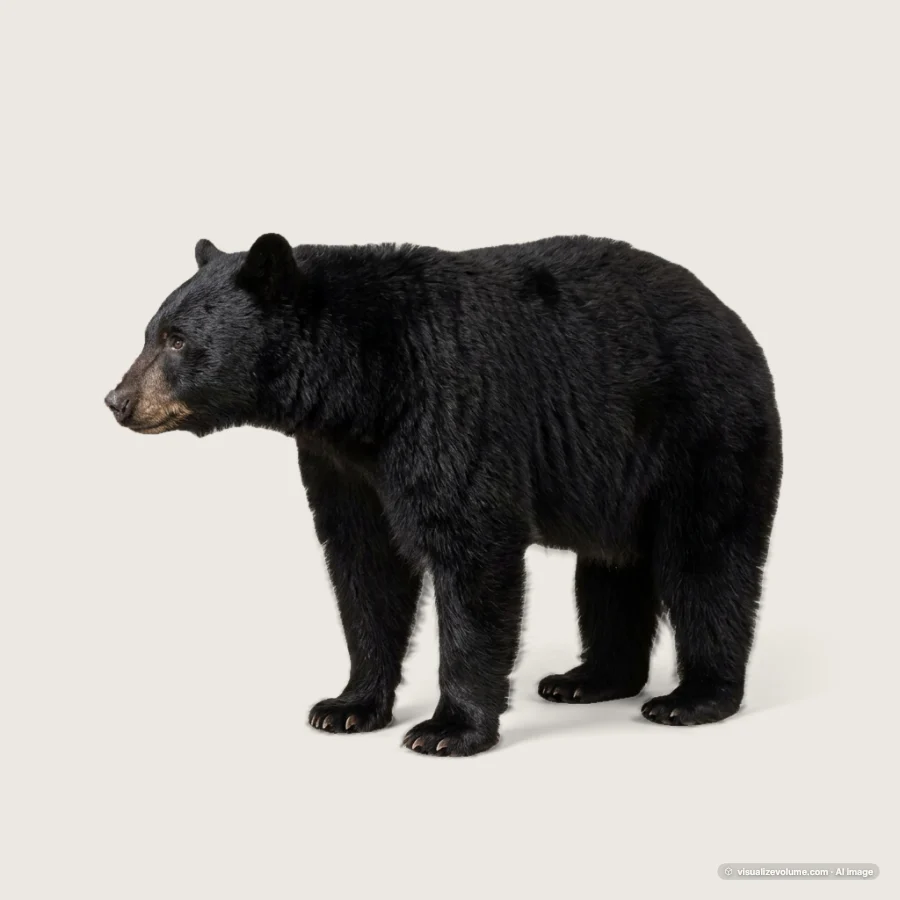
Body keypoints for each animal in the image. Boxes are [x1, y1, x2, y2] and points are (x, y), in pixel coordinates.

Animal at [106, 233, 782, 756]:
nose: (117, 400)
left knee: (707, 561)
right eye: (149, 331)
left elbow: (470, 549)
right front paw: (347, 705)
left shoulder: (450, 403)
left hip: (703, 435)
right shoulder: (343, 464)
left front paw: (447, 728)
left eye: (176, 338)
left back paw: (693, 697)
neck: (364, 387)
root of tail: (738, 324)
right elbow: (364, 567)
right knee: (610, 572)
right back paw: (587, 679)